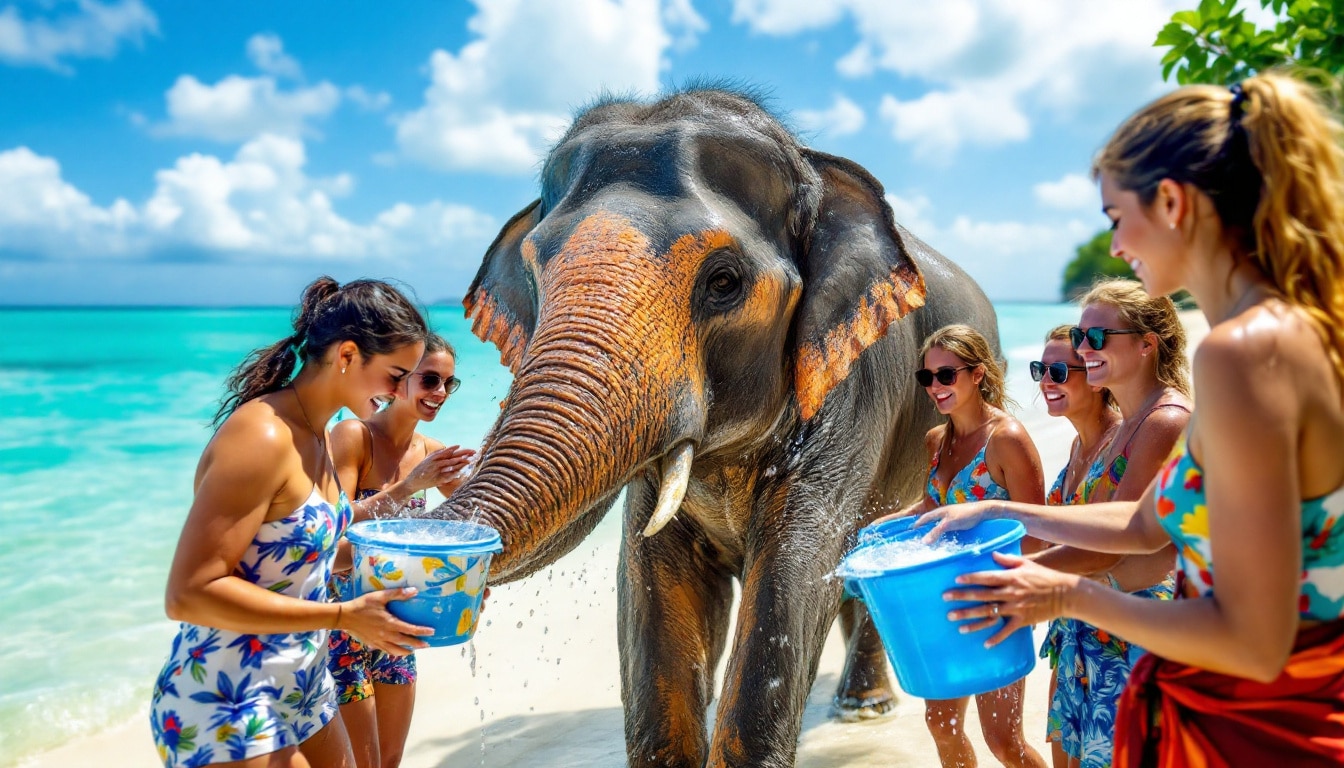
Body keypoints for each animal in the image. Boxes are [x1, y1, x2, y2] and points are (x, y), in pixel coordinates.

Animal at [430, 87, 999, 763]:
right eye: (535, 276)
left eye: (724, 282)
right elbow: (650, 578)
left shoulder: (854, 388)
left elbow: (794, 568)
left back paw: (864, 709)